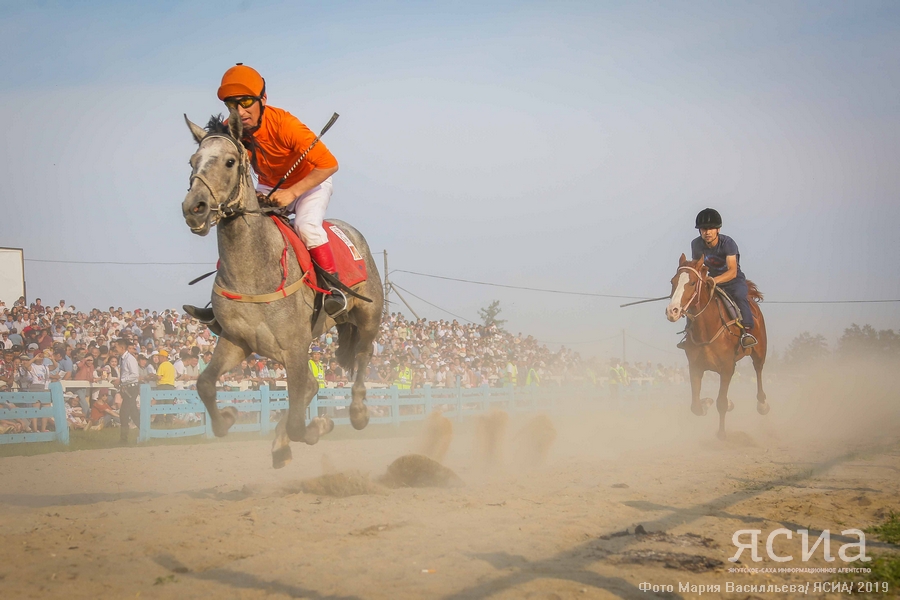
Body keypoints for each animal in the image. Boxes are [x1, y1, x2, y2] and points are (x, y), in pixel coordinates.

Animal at [181, 110, 382, 472]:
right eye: (193, 161)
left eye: (230, 161)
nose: (195, 208)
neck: (253, 271)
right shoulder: (237, 341)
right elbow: (204, 384)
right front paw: (228, 416)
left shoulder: (295, 345)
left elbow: (299, 422)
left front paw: (320, 426)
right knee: (313, 385)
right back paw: (280, 443)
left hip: (368, 315)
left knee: (362, 355)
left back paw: (358, 412)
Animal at [664, 252, 768, 436]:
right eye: (672, 281)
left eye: (692, 282)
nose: (672, 311)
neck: (707, 330)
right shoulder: (695, 367)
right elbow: (695, 406)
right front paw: (707, 403)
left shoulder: (727, 367)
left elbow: (721, 403)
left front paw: (722, 433)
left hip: (760, 351)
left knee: (758, 369)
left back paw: (762, 404)